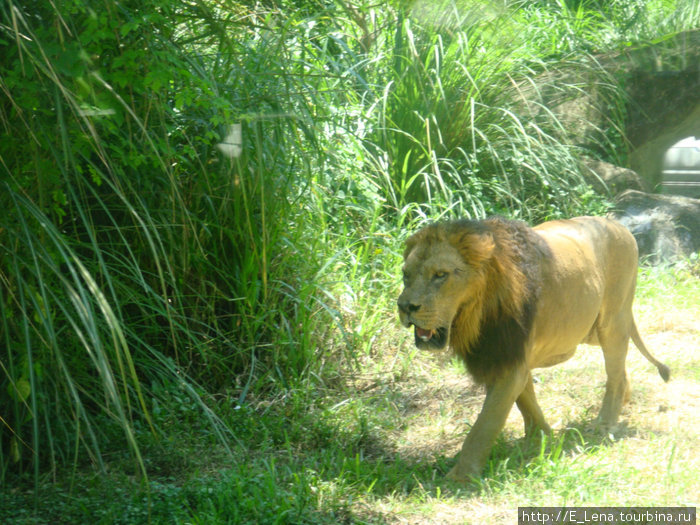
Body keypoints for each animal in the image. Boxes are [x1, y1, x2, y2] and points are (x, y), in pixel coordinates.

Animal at [396, 215, 668, 482]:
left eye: (440, 275)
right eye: (406, 275)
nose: (405, 306)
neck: (476, 314)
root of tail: (619, 225)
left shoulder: (509, 358)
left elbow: (486, 423)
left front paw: (460, 477)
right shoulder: (509, 355)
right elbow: (525, 399)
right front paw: (541, 439)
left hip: (611, 321)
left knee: (615, 370)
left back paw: (606, 423)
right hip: (591, 329)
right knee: (620, 367)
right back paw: (624, 400)